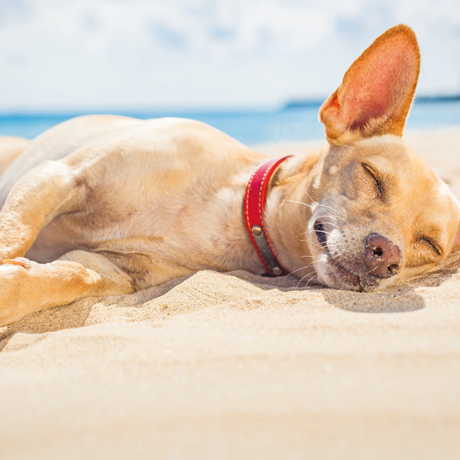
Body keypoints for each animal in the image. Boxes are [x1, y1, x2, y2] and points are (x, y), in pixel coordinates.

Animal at [0, 24, 456, 328]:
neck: (228, 212)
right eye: (372, 176)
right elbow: (14, 234)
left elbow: (68, 274)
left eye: (428, 245)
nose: (387, 254)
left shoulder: (113, 268)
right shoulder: (62, 174)